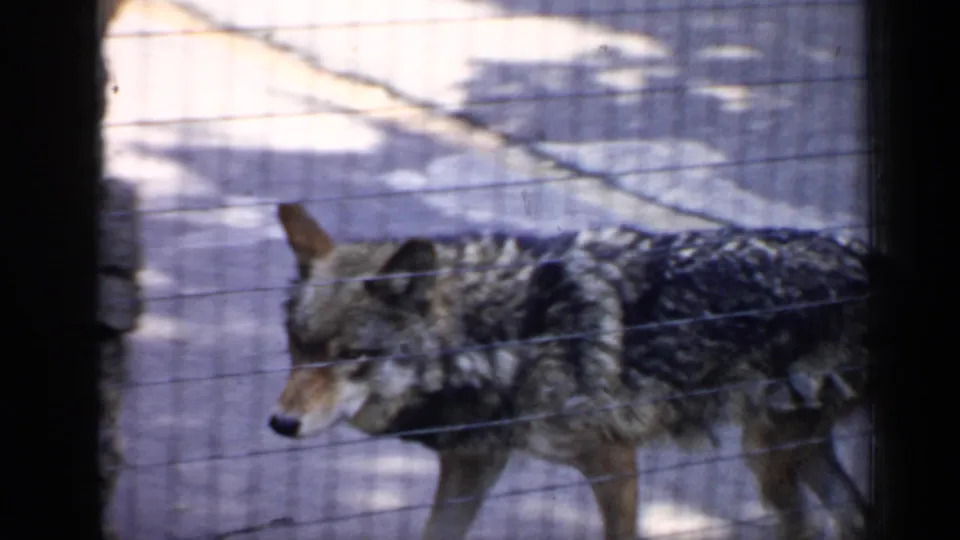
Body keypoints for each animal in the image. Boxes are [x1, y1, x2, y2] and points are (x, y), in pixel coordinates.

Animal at [268, 202, 888, 540]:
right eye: (298, 346)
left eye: (351, 356)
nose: (280, 424)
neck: (503, 334)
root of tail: (863, 256)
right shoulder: (472, 465)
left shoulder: (612, 459)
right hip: (788, 451)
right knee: (854, 515)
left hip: (767, 451)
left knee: (813, 523)